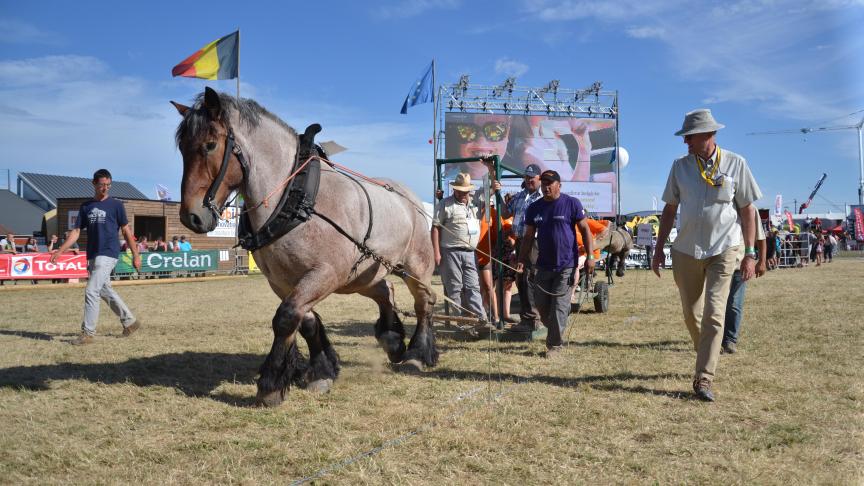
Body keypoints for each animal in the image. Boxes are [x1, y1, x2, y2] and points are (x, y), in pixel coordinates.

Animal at [173, 87, 438, 406]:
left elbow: (287, 317)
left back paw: (417, 354)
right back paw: (393, 339)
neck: (295, 198)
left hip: (414, 266)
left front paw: (271, 384)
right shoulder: (282, 280)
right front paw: (322, 369)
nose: (191, 216)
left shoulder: (326, 272)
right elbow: (305, 320)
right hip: (361, 274)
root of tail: (410, 198)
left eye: (210, 145)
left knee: (423, 302)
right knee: (385, 290)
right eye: (182, 149)